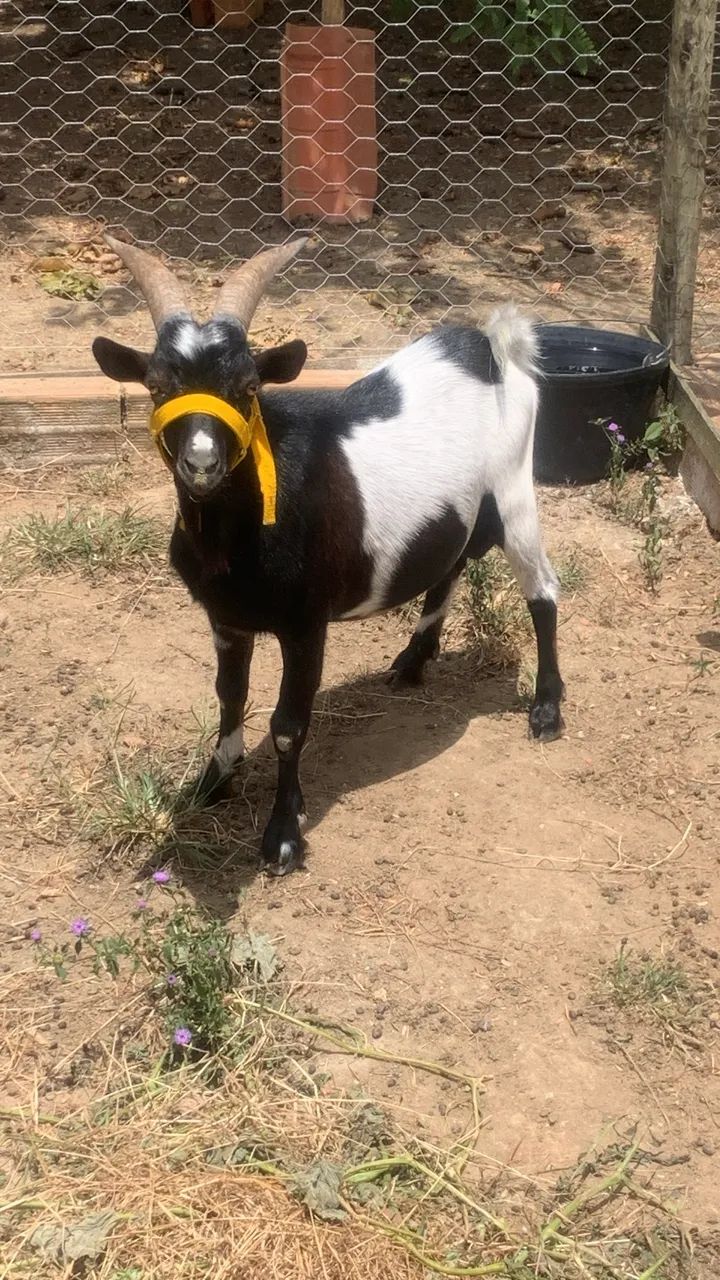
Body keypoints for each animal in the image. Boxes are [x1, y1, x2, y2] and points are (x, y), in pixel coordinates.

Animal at [92, 235, 565, 875]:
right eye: (158, 387)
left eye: (249, 388)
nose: (202, 464)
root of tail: (486, 344)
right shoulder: (226, 619)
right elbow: (229, 696)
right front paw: (213, 782)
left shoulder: (305, 623)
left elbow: (289, 726)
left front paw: (282, 836)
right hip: (461, 508)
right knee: (450, 563)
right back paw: (412, 662)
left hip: (516, 489)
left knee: (542, 591)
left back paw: (546, 710)